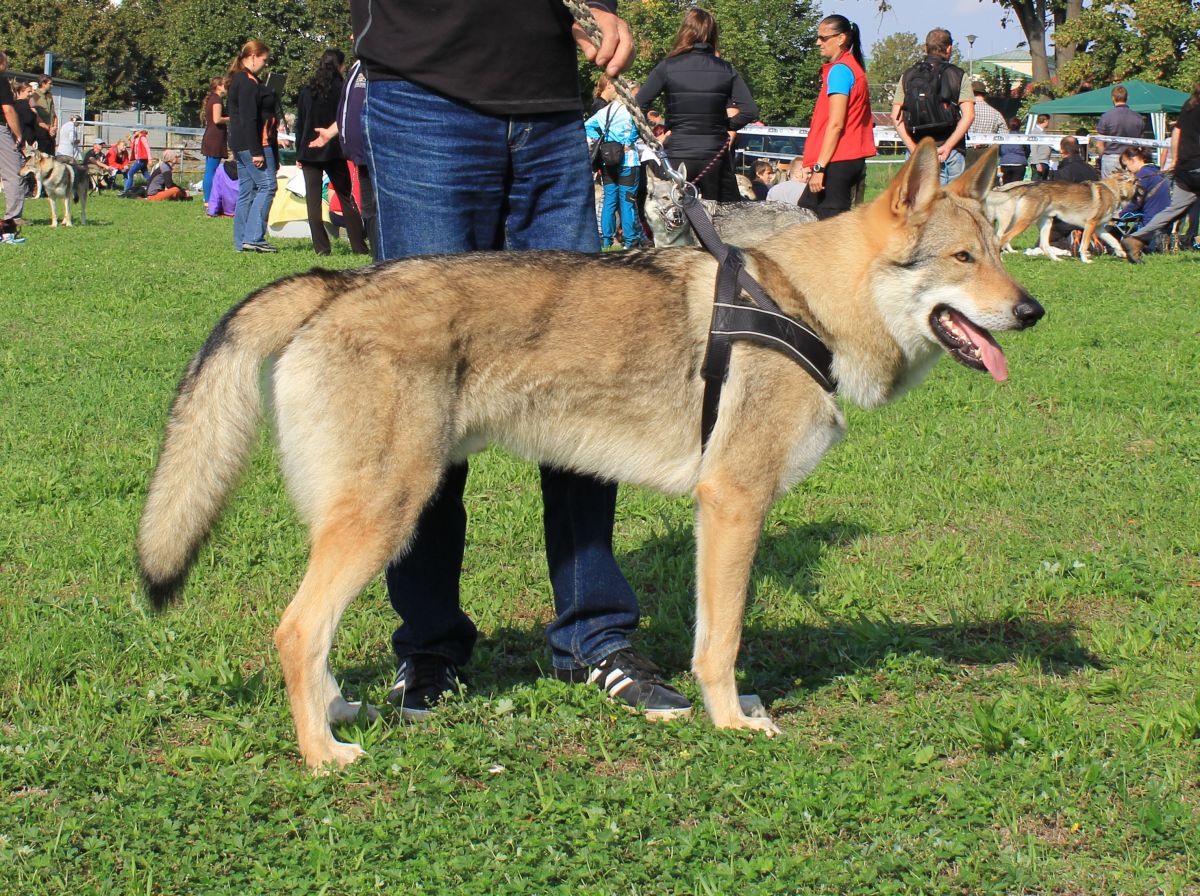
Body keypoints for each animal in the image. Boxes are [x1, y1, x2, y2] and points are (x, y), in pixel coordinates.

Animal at [138, 140, 1041, 772]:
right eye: (963, 259)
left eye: (1001, 249)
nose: (1033, 311)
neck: (803, 304)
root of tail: (339, 280)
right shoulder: (734, 502)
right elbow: (722, 643)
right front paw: (733, 724)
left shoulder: (721, 515)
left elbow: (710, 635)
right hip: (390, 513)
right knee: (297, 630)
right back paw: (324, 755)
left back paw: (334, 714)